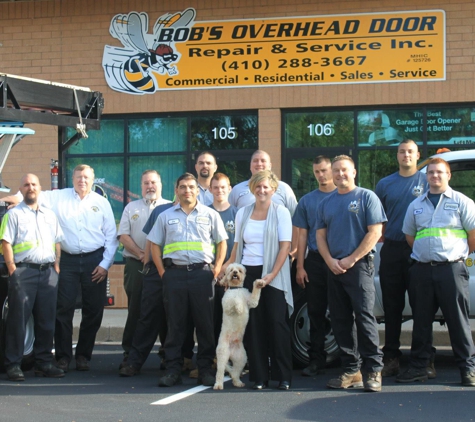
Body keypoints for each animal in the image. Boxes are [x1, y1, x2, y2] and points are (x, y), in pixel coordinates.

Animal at [215, 262, 266, 390]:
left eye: (239, 270)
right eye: (231, 270)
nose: (235, 273)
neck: (236, 288)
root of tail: (231, 351)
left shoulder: (252, 302)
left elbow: (254, 297)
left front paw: (258, 283)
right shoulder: (227, 304)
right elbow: (235, 301)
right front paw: (238, 306)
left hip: (241, 358)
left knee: (235, 372)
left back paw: (238, 382)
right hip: (222, 355)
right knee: (220, 372)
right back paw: (218, 385)